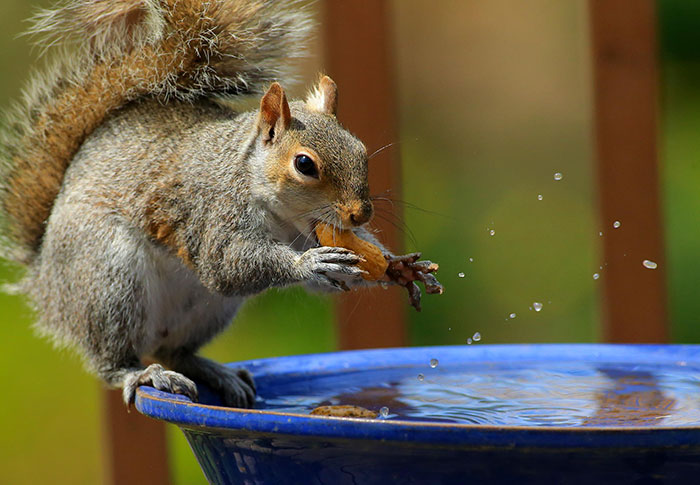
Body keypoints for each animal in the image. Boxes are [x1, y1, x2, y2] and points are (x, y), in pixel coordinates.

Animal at [0, 0, 440, 406]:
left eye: (361, 150)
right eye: (304, 164)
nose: (360, 213)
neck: (277, 213)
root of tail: (45, 285)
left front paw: (399, 267)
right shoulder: (211, 212)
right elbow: (226, 264)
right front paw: (309, 264)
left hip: (208, 310)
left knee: (173, 351)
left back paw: (217, 373)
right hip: (108, 280)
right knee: (113, 359)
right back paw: (143, 375)